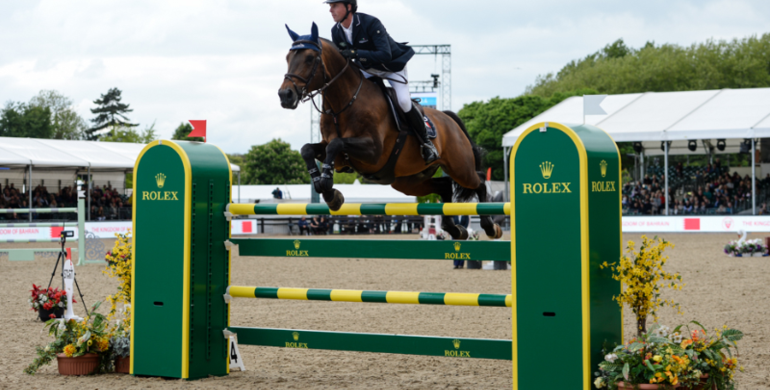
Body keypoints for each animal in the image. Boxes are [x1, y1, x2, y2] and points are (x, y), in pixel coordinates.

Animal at [276, 23, 504, 241]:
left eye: (310, 58)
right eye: (287, 58)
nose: (285, 95)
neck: (344, 102)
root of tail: (448, 118)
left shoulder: (373, 151)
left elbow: (336, 144)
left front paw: (328, 188)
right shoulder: (334, 151)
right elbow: (308, 149)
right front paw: (326, 189)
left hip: (459, 167)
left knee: (479, 182)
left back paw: (490, 227)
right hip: (409, 181)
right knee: (445, 187)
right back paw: (455, 230)